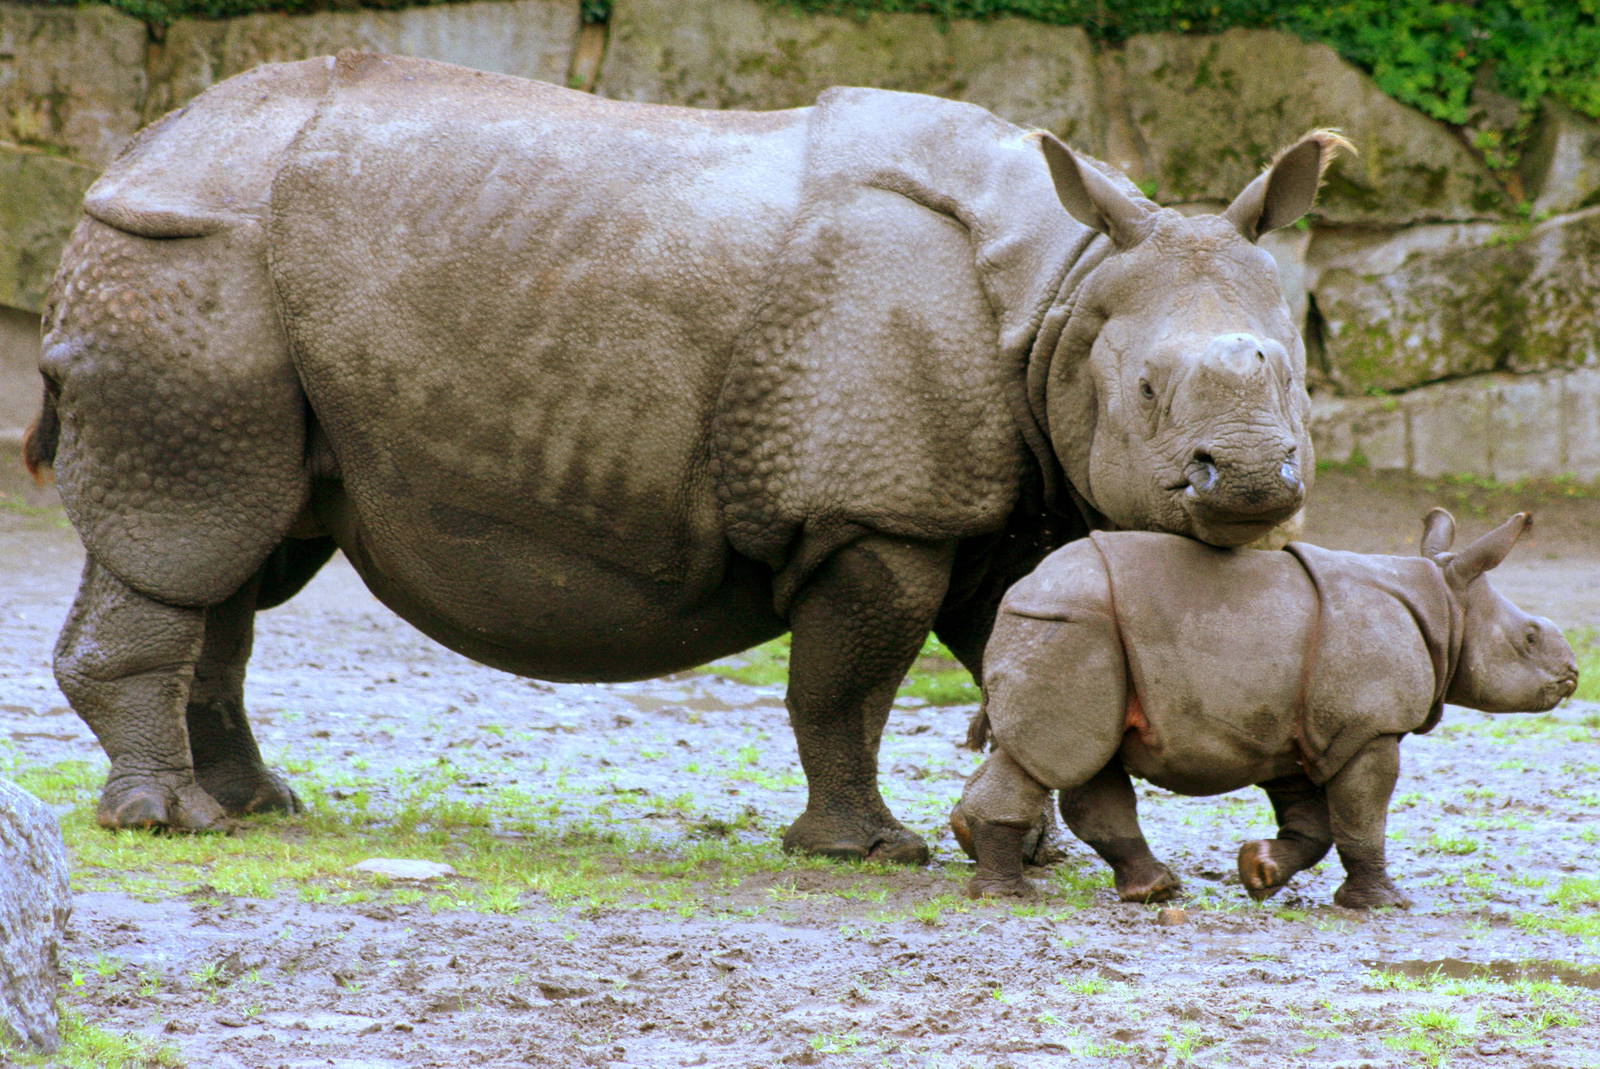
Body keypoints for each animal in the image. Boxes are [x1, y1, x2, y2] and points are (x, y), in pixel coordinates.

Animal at [25, 51, 1345, 863]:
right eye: (1146, 392)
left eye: (1295, 372)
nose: (1252, 482)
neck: (1064, 293)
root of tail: (127, 157)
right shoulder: (876, 509)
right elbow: (847, 683)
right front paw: (869, 852)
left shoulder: (1005, 497)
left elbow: (1019, 662)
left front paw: (1042, 847)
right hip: (187, 255)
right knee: (190, 527)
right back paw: (171, 822)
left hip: (237, 280)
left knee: (247, 553)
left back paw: (255, 806)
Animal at [952, 509, 1580, 907]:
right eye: (1528, 638)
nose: (1573, 673)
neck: (1447, 605)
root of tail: (1020, 593)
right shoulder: (1370, 729)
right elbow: (1362, 817)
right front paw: (1383, 905)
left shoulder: (1293, 729)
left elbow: (1314, 823)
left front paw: (1260, 873)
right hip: (1075, 627)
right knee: (1056, 755)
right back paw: (1007, 896)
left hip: (1082, 632)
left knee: (1088, 757)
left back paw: (1153, 891)